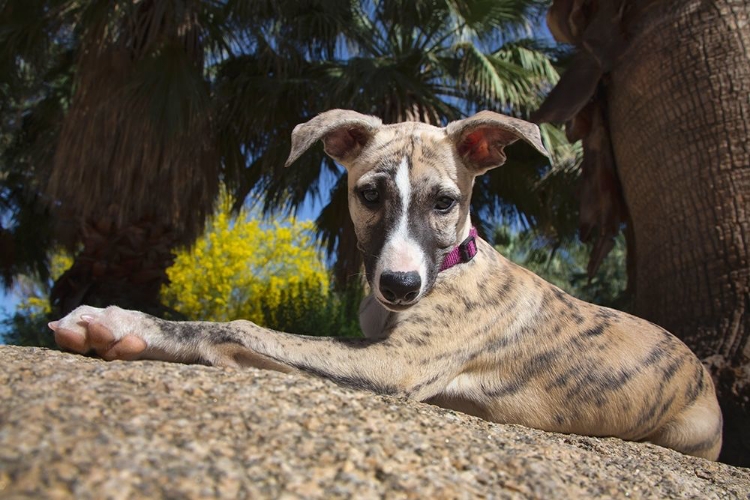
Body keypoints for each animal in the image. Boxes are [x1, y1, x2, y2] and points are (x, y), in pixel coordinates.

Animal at [51, 109, 724, 460]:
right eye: (369, 194)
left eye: (445, 202)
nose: (399, 285)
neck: (452, 263)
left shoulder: (393, 367)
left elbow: (237, 327)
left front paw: (117, 322)